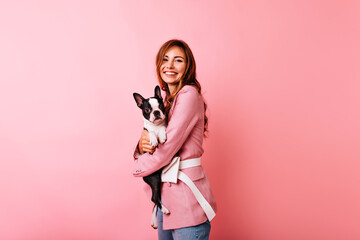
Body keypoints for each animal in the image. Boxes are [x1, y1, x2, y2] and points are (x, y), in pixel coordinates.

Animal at [134, 85, 170, 228]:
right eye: (147, 110)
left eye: (161, 106)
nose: (156, 112)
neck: (156, 125)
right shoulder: (145, 131)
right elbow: (150, 132)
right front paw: (154, 138)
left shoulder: (164, 125)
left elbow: (162, 128)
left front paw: (162, 135)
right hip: (154, 179)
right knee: (154, 198)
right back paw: (164, 210)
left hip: (156, 180)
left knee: (155, 199)